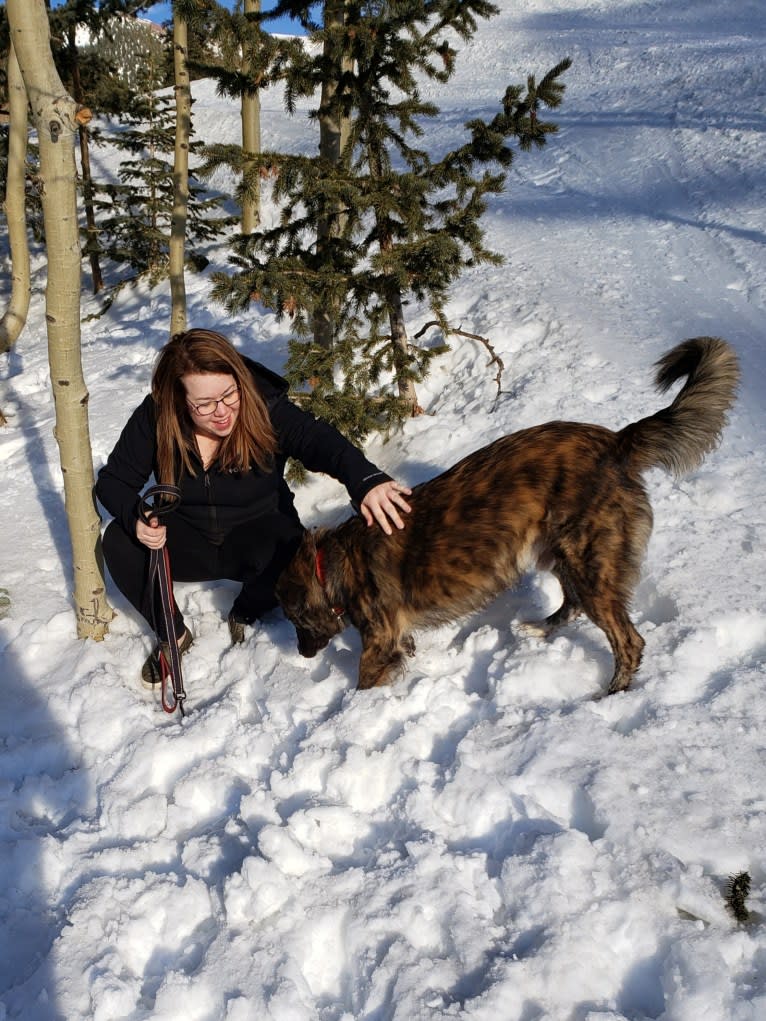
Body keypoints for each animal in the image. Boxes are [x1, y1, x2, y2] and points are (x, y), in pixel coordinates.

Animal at [275, 338, 739, 698]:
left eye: (295, 619)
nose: (301, 653)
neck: (333, 562)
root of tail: (616, 442)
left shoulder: (378, 641)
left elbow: (364, 683)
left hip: (591, 561)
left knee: (630, 640)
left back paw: (611, 696)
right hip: (562, 551)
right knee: (572, 603)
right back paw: (540, 630)